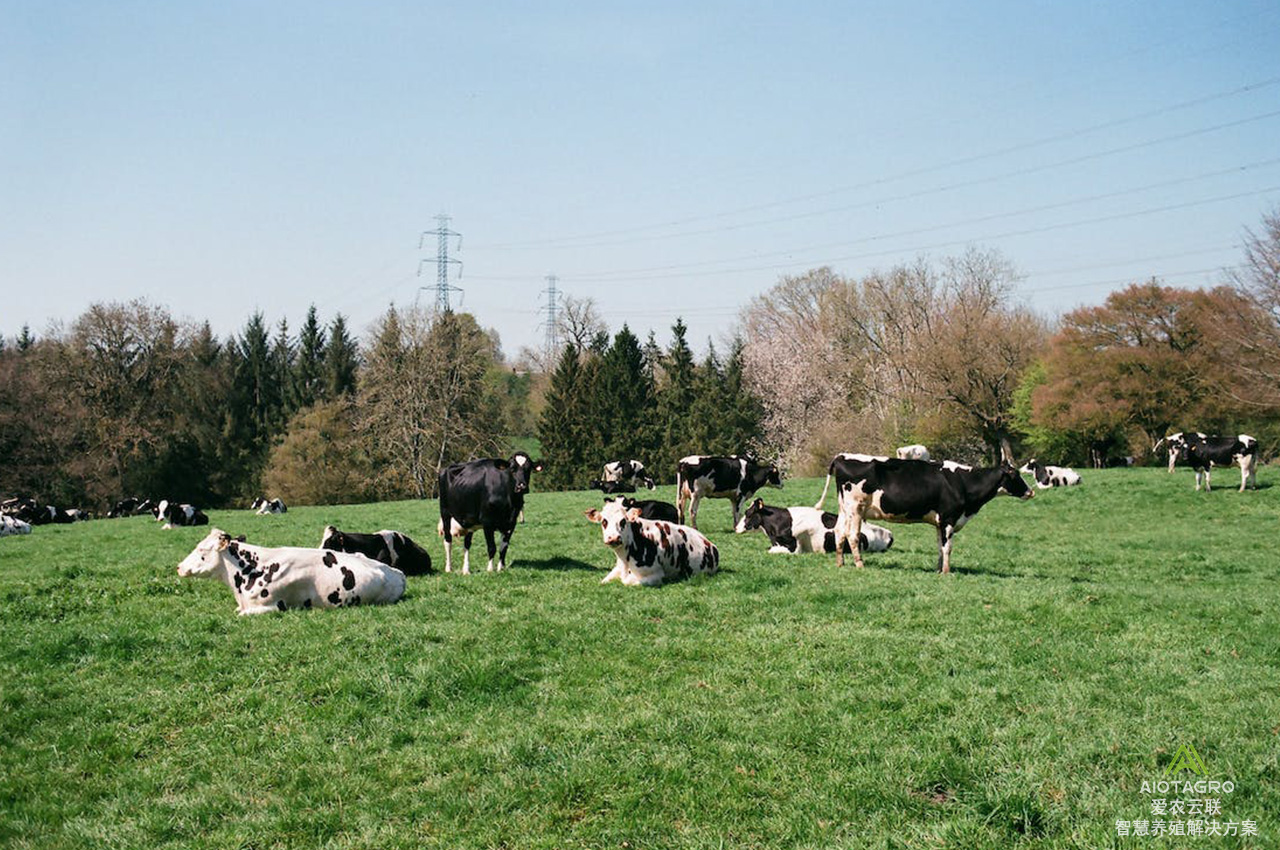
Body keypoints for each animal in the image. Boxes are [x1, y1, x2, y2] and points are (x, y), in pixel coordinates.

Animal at [586, 501, 721, 588]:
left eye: (623, 520)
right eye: (604, 521)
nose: (613, 538)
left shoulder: (656, 575)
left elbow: (627, 581)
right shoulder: (617, 568)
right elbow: (603, 580)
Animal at [814, 455, 1034, 573]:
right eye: (1015, 475)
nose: (1031, 491)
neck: (963, 482)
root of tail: (841, 456)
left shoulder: (939, 522)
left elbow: (939, 547)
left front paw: (938, 569)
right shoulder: (948, 519)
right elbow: (948, 547)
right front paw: (946, 572)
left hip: (845, 509)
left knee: (839, 532)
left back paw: (841, 563)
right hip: (855, 509)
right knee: (852, 535)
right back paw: (860, 564)